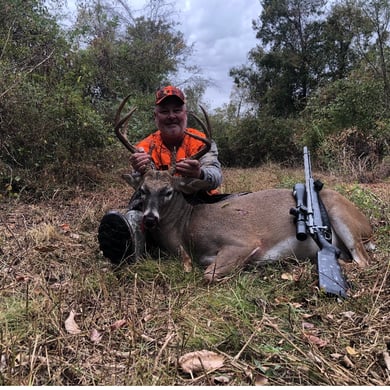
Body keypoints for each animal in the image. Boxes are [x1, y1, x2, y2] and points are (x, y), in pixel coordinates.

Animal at [114, 97, 374, 284]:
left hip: (341, 216)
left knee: (362, 261)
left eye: (168, 191)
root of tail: (368, 225)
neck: (185, 228)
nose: (149, 218)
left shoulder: (243, 241)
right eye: (143, 190)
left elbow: (208, 275)